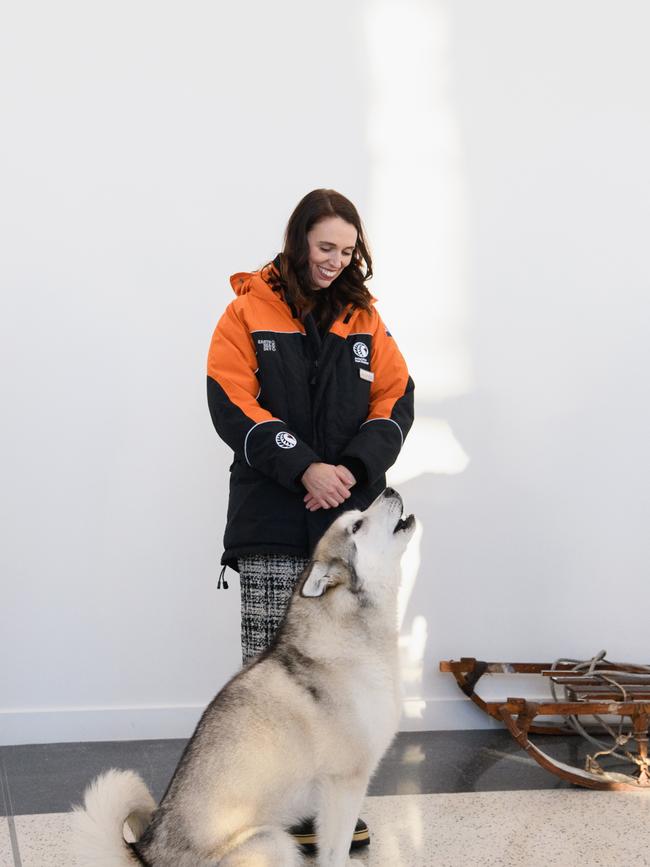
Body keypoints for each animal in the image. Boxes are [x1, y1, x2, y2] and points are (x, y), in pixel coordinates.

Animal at [72, 488, 416, 867]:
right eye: (357, 525)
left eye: (359, 514)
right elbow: (334, 852)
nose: (389, 490)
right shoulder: (344, 783)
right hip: (273, 842)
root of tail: (148, 855)